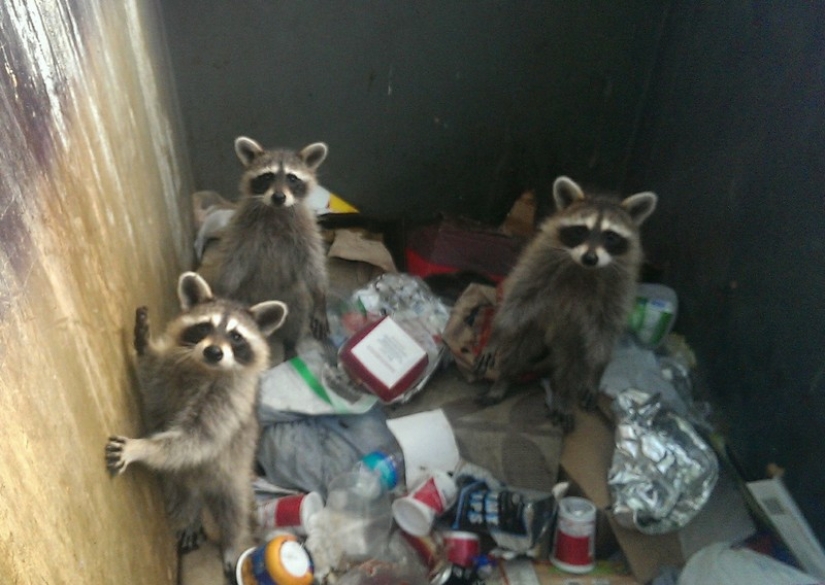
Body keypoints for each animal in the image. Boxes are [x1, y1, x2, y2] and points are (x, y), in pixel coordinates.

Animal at [105, 272, 287, 578]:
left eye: (236, 336)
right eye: (204, 327)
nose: (214, 351)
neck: (206, 370)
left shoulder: (227, 405)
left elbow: (195, 439)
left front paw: (143, 448)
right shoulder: (170, 373)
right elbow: (152, 383)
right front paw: (145, 345)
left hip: (232, 474)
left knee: (233, 509)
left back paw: (232, 541)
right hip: (179, 481)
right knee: (180, 495)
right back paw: (188, 516)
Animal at [208, 136, 330, 360]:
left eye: (292, 178)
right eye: (267, 176)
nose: (279, 197)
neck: (276, 210)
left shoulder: (306, 230)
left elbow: (313, 264)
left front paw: (320, 297)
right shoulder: (242, 228)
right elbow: (233, 261)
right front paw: (222, 291)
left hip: (292, 294)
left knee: (297, 314)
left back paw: (290, 344)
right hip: (244, 294)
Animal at [474, 176, 657, 432]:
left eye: (610, 236)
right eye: (580, 231)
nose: (590, 258)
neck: (584, 268)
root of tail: (552, 339)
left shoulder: (616, 289)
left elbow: (605, 329)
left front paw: (597, 369)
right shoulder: (539, 266)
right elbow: (517, 301)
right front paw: (496, 335)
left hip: (572, 341)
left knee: (572, 369)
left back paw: (563, 398)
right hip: (535, 327)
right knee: (517, 352)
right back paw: (503, 380)